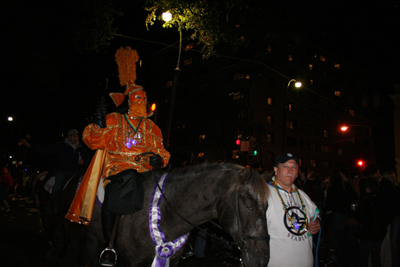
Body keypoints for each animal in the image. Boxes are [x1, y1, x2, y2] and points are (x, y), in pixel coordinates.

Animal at [86, 162, 268, 267]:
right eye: (249, 206)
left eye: (266, 207)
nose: (261, 260)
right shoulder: (133, 262)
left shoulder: (172, 261)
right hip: (90, 240)